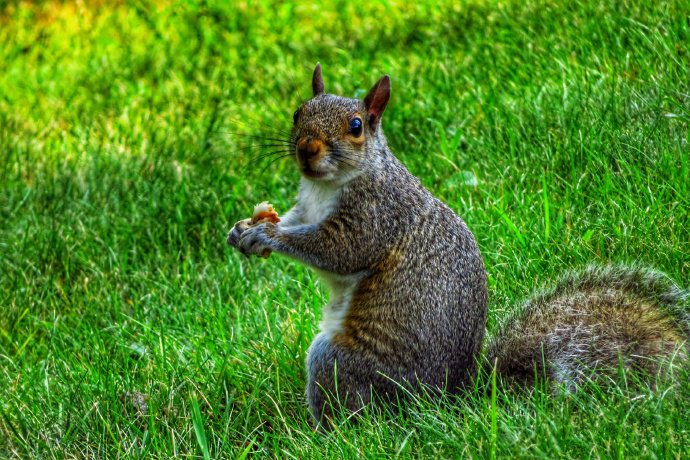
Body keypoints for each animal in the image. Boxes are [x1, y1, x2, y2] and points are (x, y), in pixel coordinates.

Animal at [227, 63, 688, 426]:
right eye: (297, 113)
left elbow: (337, 251)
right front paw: (245, 228)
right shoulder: (307, 208)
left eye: (356, 127)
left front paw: (267, 235)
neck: (326, 185)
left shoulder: (376, 215)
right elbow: (295, 222)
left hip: (344, 365)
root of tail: (446, 400)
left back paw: (323, 434)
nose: (307, 149)